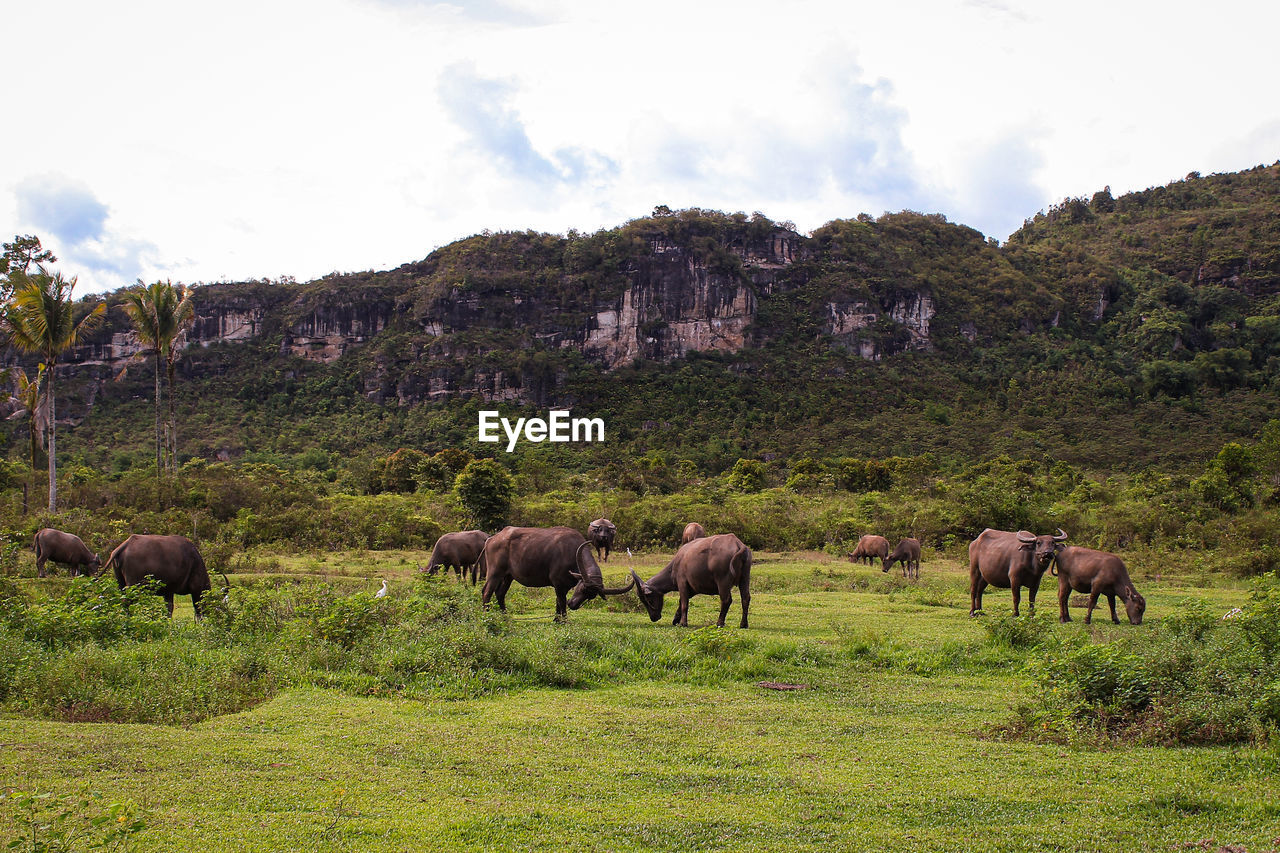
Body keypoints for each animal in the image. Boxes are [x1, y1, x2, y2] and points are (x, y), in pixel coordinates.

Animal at [478, 525, 632, 617]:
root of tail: (492, 539)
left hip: (508, 576)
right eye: (582, 588)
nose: (573, 605)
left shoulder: (563, 586)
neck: (571, 553)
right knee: (487, 592)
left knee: (500, 594)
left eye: (591, 595)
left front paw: (557, 620)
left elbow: (558, 602)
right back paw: (487, 616)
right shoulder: (558, 584)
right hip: (495, 573)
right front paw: (564, 620)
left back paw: (505, 616)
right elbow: (561, 602)